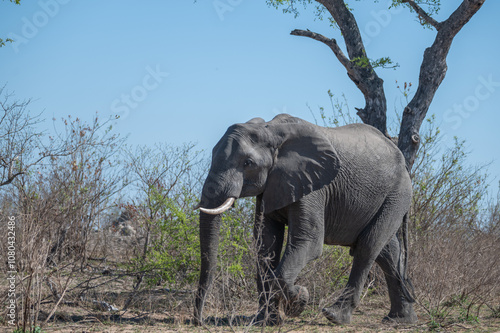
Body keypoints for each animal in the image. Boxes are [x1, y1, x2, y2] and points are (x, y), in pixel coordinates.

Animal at [193, 113, 416, 324]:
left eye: (248, 163)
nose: (199, 321)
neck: (271, 130)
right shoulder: (271, 185)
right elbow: (265, 244)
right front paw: (266, 322)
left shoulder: (314, 185)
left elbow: (308, 241)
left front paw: (299, 302)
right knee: (387, 251)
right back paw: (400, 319)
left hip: (398, 193)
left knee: (368, 247)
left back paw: (335, 316)